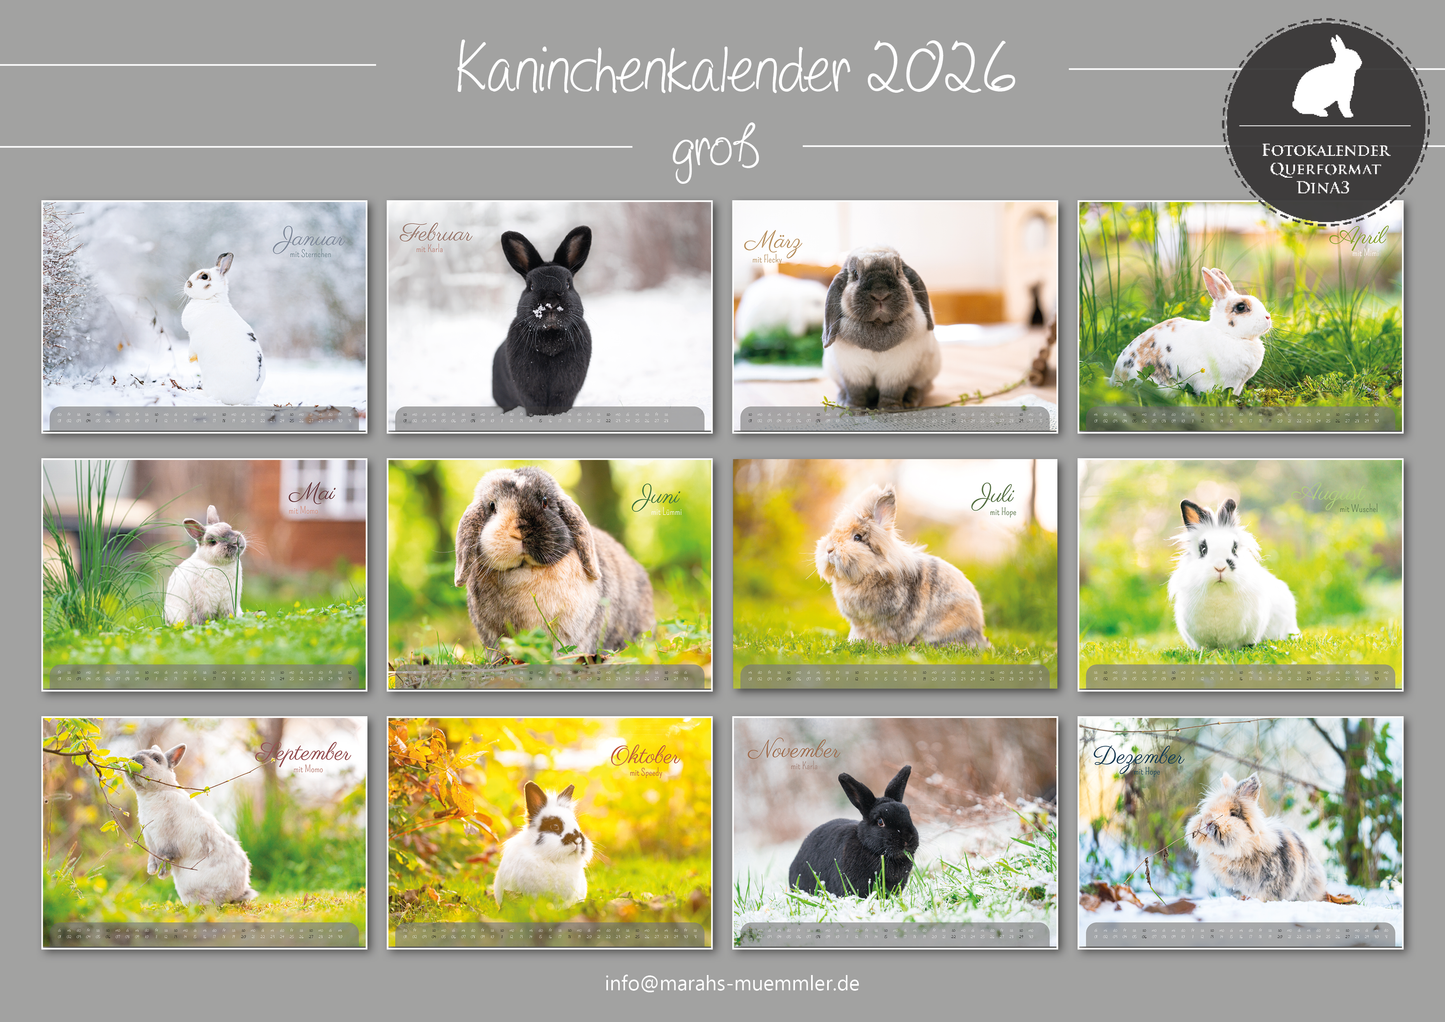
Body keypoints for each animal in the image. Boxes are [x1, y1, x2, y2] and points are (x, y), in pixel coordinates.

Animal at [125, 744, 258, 906]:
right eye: (138, 753)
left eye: (156, 759)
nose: (133, 759)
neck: (152, 793)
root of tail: (238, 893)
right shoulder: (150, 840)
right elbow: (152, 856)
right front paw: (151, 870)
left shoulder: (165, 840)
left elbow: (165, 856)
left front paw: (162, 874)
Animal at [180, 253, 267, 405]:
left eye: (204, 276)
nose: (187, 284)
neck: (211, 299)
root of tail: (246, 399)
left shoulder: (194, 339)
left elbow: (192, 349)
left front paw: (190, 359)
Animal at [491, 226, 592, 415]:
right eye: (530, 286)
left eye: (568, 284)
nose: (550, 303)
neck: (551, 334)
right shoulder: (529, 391)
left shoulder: (566, 390)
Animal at [815, 485, 988, 647]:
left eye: (857, 537)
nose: (829, 549)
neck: (869, 572)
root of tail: (978, 634)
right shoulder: (860, 624)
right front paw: (854, 643)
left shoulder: (883, 624)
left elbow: (884, 636)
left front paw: (881, 646)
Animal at [822, 246, 941, 408]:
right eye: (855, 274)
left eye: (897, 272)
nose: (880, 294)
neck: (878, 325)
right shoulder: (853, 372)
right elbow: (855, 392)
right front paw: (853, 407)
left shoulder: (897, 372)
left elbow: (892, 392)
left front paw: (890, 408)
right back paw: (841, 398)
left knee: (922, 387)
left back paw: (911, 400)